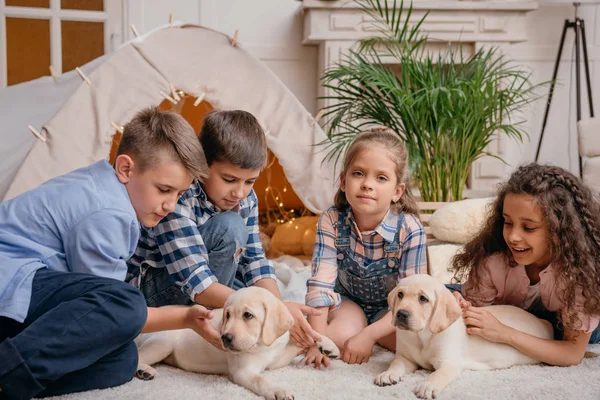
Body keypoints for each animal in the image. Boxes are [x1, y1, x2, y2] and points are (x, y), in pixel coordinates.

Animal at [137, 288, 342, 400]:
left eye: (247, 315)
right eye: (227, 315)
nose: (225, 338)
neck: (261, 343)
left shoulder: (277, 357)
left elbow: (304, 338)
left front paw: (327, 345)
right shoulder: (243, 371)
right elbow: (261, 380)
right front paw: (279, 391)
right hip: (162, 342)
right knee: (139, 354)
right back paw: (144, 370)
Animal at [376, 274, 552, 398]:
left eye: (423, 299)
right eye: (400, 294)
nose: (401, 314)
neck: (422, 335)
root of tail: (543, 323)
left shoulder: (449, 363)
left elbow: (438, 374)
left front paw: (427, 386)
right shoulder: (405, 357)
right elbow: (396, 364)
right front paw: (387, 374)